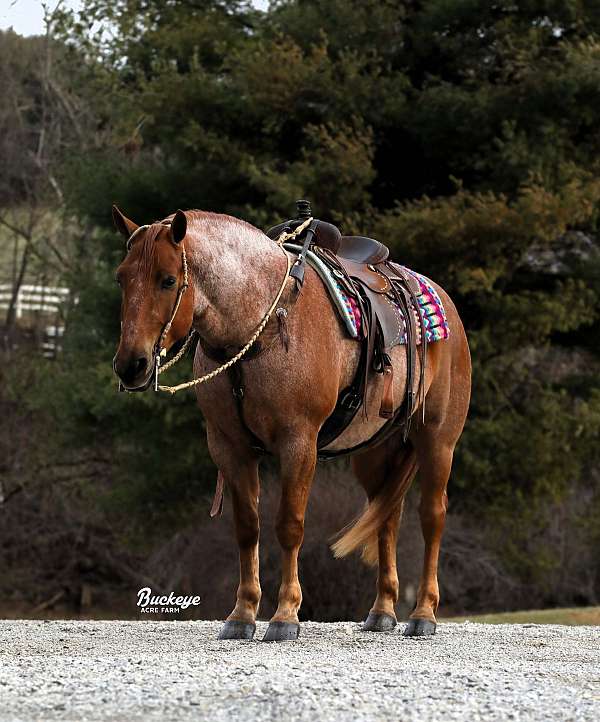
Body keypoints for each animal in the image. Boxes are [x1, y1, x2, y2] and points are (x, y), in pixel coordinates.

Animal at [111, 205, 468, 640]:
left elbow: (289, 525)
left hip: (438, 441)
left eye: (167, 280)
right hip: (373, 452)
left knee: (432, 515)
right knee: (388, 517)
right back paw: (382, 610)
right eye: (122, 277)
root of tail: (443, 301)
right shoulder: (229, 447)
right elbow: (247, 526)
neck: (261, 324)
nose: (131, 365)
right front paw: (242, 614)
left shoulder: (298, 443)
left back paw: (423, 614)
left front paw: (284, 616)